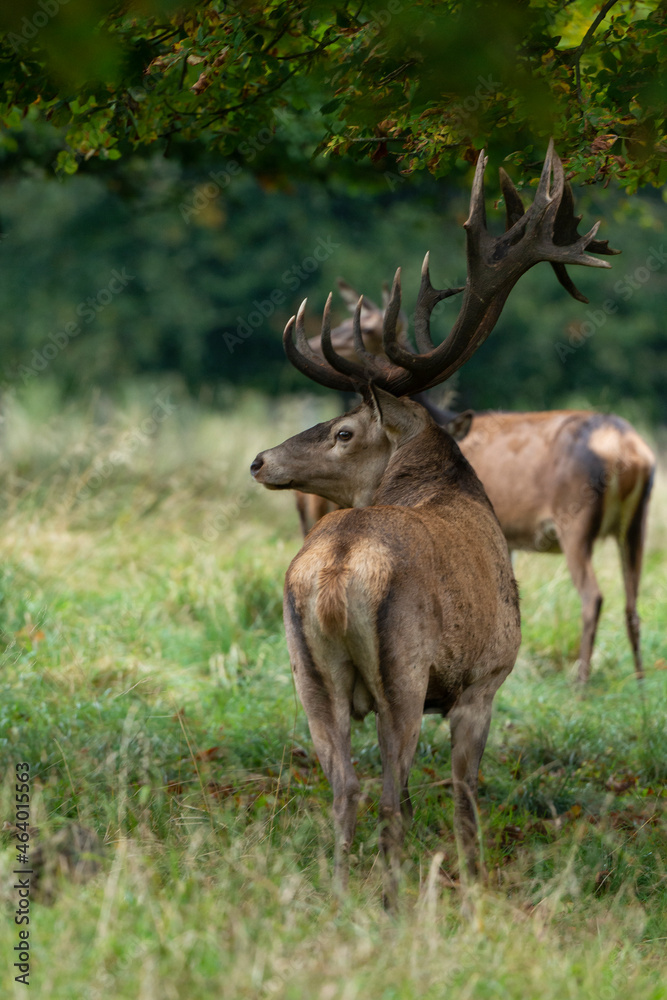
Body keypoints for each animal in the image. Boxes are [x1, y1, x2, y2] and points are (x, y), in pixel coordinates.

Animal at [253, 146, 620, 908]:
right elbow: (465, 794)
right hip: (404, 668)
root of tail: (337, 569)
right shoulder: (482, 680)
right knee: (390, 792)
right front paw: (477, 882)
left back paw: (342, 894)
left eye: (342, 430)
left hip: (305, 669)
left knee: (345, 786)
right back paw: (392, 902)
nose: (260, 460)